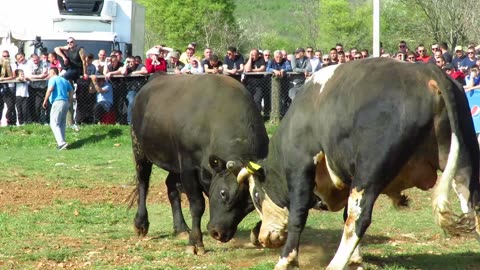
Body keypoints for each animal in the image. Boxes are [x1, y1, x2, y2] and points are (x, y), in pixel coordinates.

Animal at [129, 74, 268, 255]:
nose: (220, 233)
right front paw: (195, 243)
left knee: (171, 187)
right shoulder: (189, 167)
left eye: (250, 205)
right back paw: (141, 223)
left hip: (175, 163)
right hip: (140, 149)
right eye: (223, 193)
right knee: (143, 183)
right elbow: (197, 205)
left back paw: (181, 228)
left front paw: (258, 232)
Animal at [212, 58, 480, 268]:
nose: (264, 237)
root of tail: (426, 71)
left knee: (358, 218)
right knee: (473, 206)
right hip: (462, 162)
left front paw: (286, 259)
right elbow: (342, 217)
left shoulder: (301, 168)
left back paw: (335, 263)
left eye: (256, 197)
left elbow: (299, 215)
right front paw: (356, 259)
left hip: (370, 172)